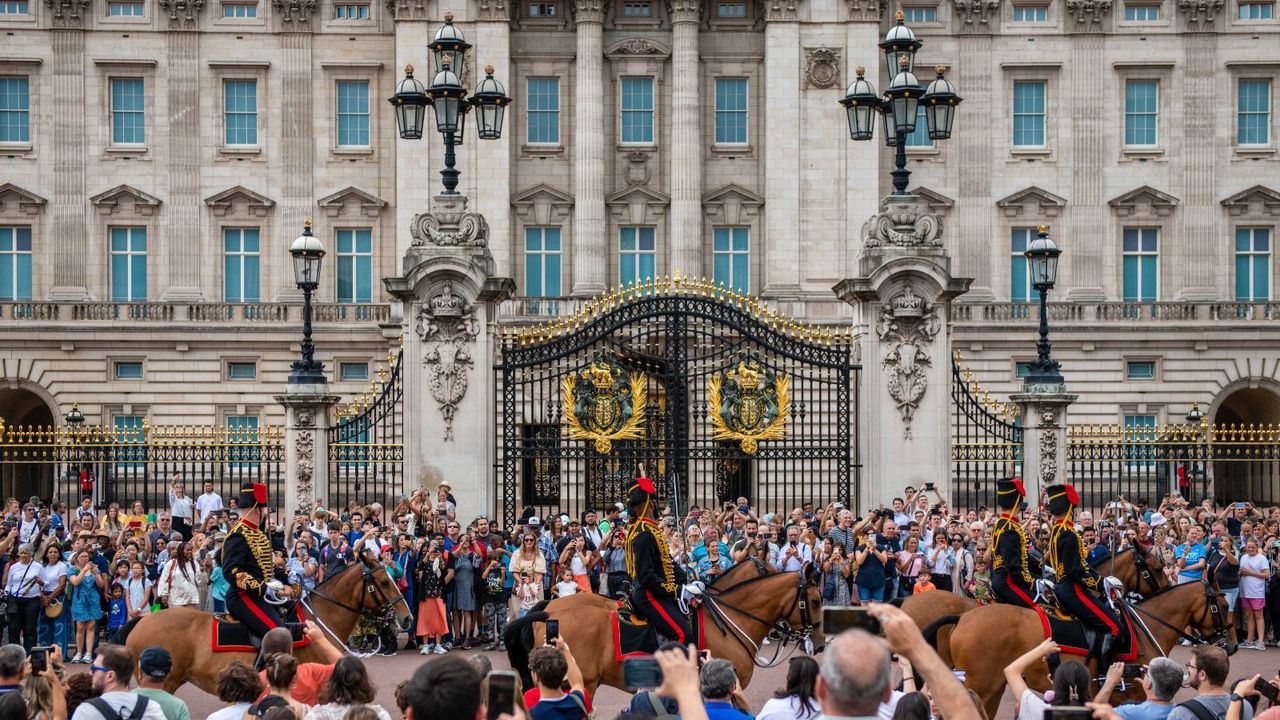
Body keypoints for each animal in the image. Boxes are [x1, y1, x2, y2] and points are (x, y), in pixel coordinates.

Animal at [952, 576, 1228, 717]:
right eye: (1224, 606)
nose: (1231, 644)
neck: (1145, 628)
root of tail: (963, 617)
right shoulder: (1133, 698)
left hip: (993, 688)